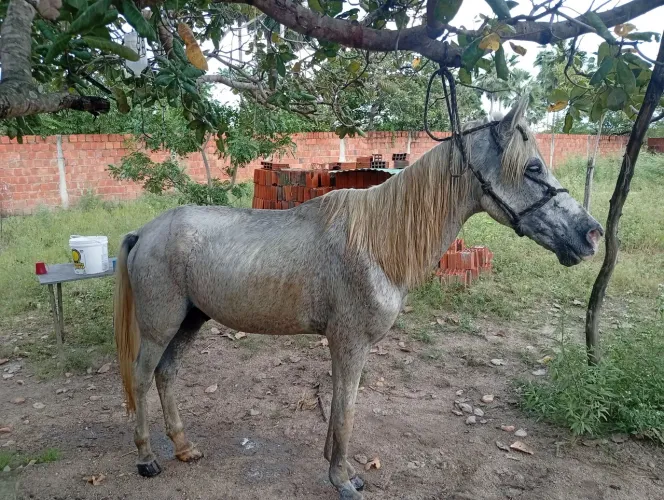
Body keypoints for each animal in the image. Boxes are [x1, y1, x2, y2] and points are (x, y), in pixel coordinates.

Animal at [114, 97, 603, 499]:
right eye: (533, 168)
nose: (591, 234)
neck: (377, 243)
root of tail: (145, 232)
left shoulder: (344, 344)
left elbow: (337, 407)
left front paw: (340, 469)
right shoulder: (349, 343)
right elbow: (346, 409)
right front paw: (343, 480)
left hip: (190, 321)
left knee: (167, 375)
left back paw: (184, 447)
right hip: (161, 326)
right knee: (142, 377)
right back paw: (147, 458)